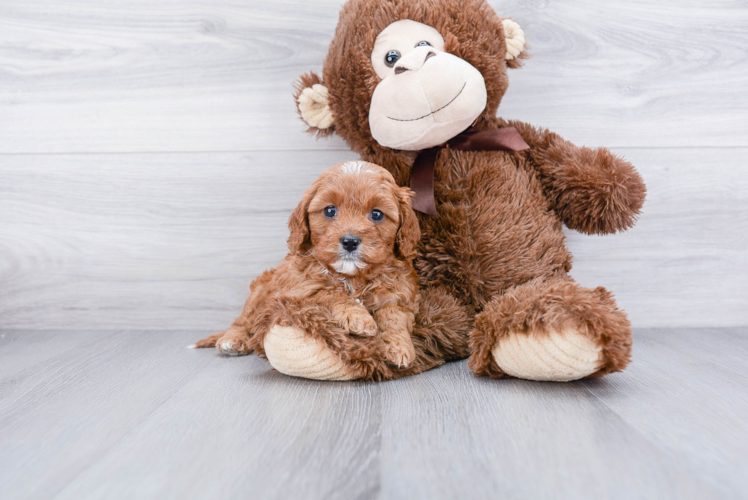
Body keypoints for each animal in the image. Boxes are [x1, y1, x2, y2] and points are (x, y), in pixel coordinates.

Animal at [191, 162, 420, 374]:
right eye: (330, 210)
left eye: (377, 214)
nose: (350, 241)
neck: (353, 277)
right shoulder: (298, 291)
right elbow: (329, 292)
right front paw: (357, 317)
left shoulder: (401, 295)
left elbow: (394, 314)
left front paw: (399, 347)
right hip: (258, 294)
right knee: (242, 321)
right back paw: (232, 340)